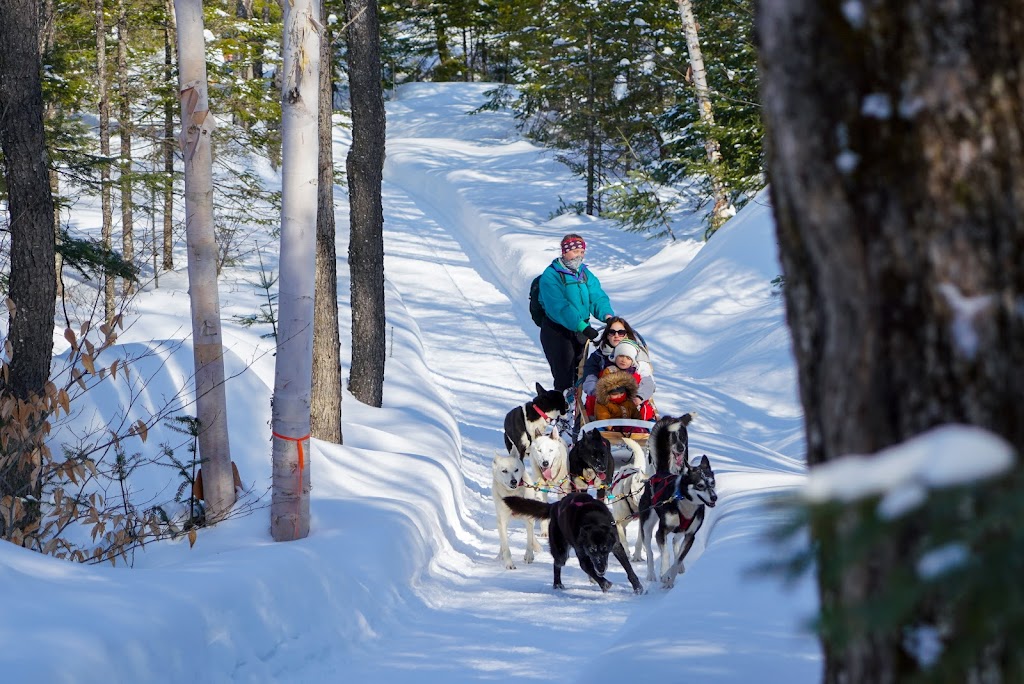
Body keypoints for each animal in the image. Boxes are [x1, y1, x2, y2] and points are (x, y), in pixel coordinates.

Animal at [501, 491, 638, 593]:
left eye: (605, 548)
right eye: (592, 549)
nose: (601, 568)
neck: (594, 521)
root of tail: (555, 505)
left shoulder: (616, 546)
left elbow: (628, 568)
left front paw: (638, 587)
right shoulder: (582, 553)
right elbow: (588, 568)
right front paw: (604, 583)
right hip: (561, 552)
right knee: (557, 564)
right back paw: (557, 584)